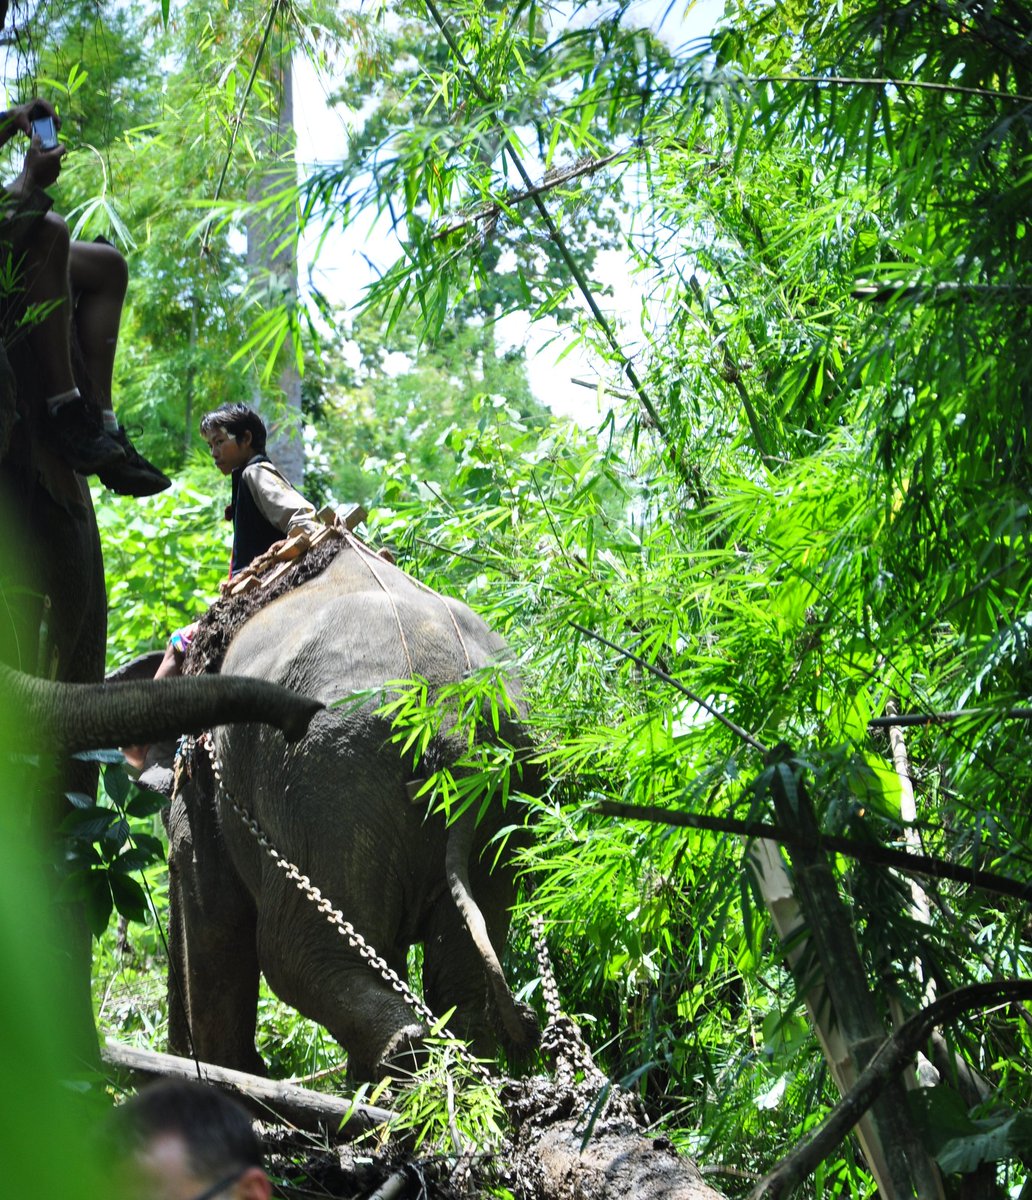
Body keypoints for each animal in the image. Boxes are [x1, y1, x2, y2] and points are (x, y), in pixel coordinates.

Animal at [163, 540, 540, 1084]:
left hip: (327, 779)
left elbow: (215, 916)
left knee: (294, 952)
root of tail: (450, 719)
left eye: (168, 865)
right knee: (460, 966)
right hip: (507, 786)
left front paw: (224, 1077)